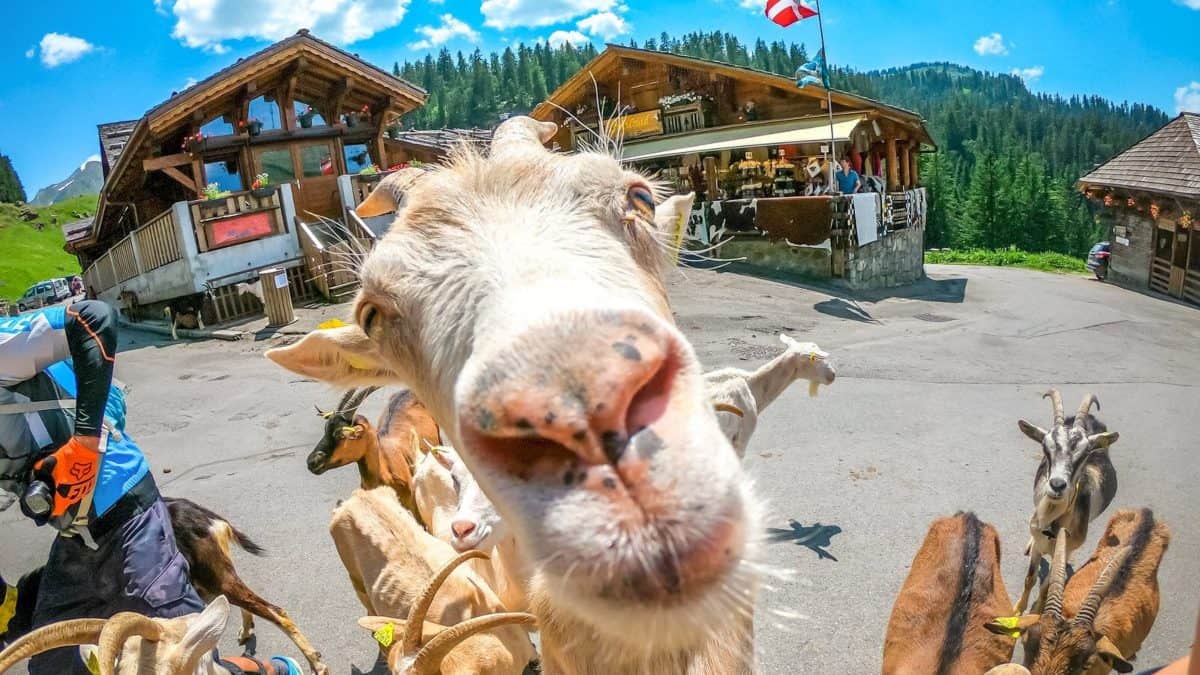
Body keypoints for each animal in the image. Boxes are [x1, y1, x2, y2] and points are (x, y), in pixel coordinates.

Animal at [0, 498, 326, 675]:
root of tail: (207, 517)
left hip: (210, 576)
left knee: (275, 610)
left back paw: (315, 661)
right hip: (208, 578)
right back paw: (247, 630)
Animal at [1014, 390, 1119, 615]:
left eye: (1085, 453)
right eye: (1046, 447)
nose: (1057, 485)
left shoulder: (1065, 550)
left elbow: (1047, 586)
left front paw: (1035, 612)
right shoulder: (1039, 540)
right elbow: (1030, 578)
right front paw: (1017, 610)